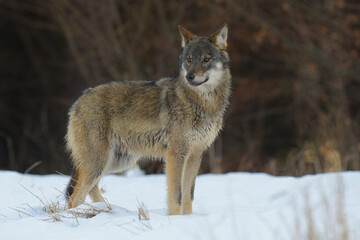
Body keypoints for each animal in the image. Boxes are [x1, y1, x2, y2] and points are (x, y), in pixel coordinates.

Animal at [65, 23, 231, 215]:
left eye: (206, 59)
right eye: (189, 60)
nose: (190, 76)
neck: (203, 104)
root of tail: (79, 98)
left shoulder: (195, 155)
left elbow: (188, 196)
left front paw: (187, 219)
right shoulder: (175, 155)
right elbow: (176, 196)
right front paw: (174, 218)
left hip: (116, 162)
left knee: (91, 188)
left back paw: (105, 210)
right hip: (99, 163)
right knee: (75, 197)